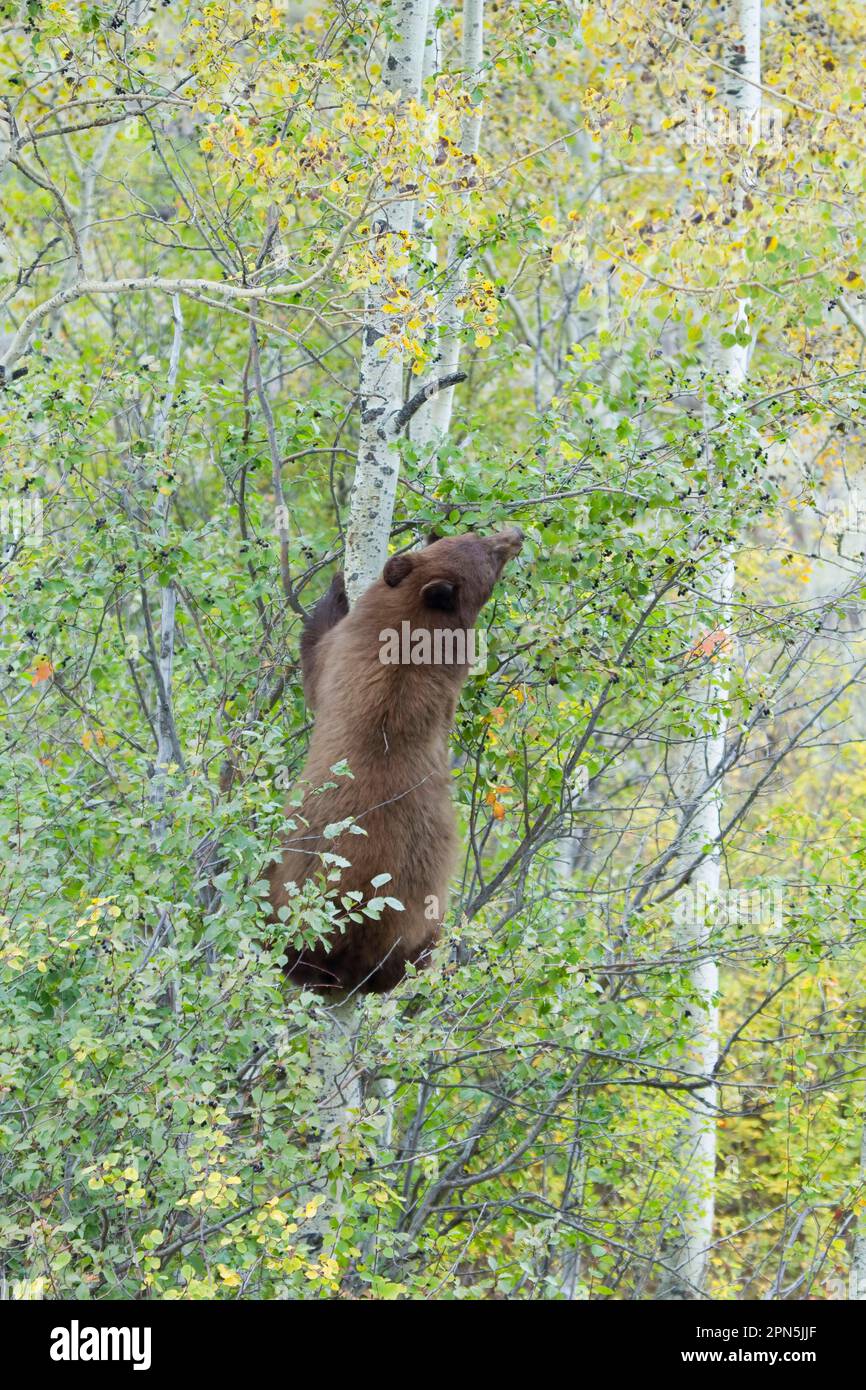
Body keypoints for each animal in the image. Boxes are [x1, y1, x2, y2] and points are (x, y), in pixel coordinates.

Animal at [267, 527, 524, 996]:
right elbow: (316, 660)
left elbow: (314, 659)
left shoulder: (349, 649)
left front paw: (334, 584)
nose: (515, 535)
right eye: (488, 550)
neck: (414, 616)